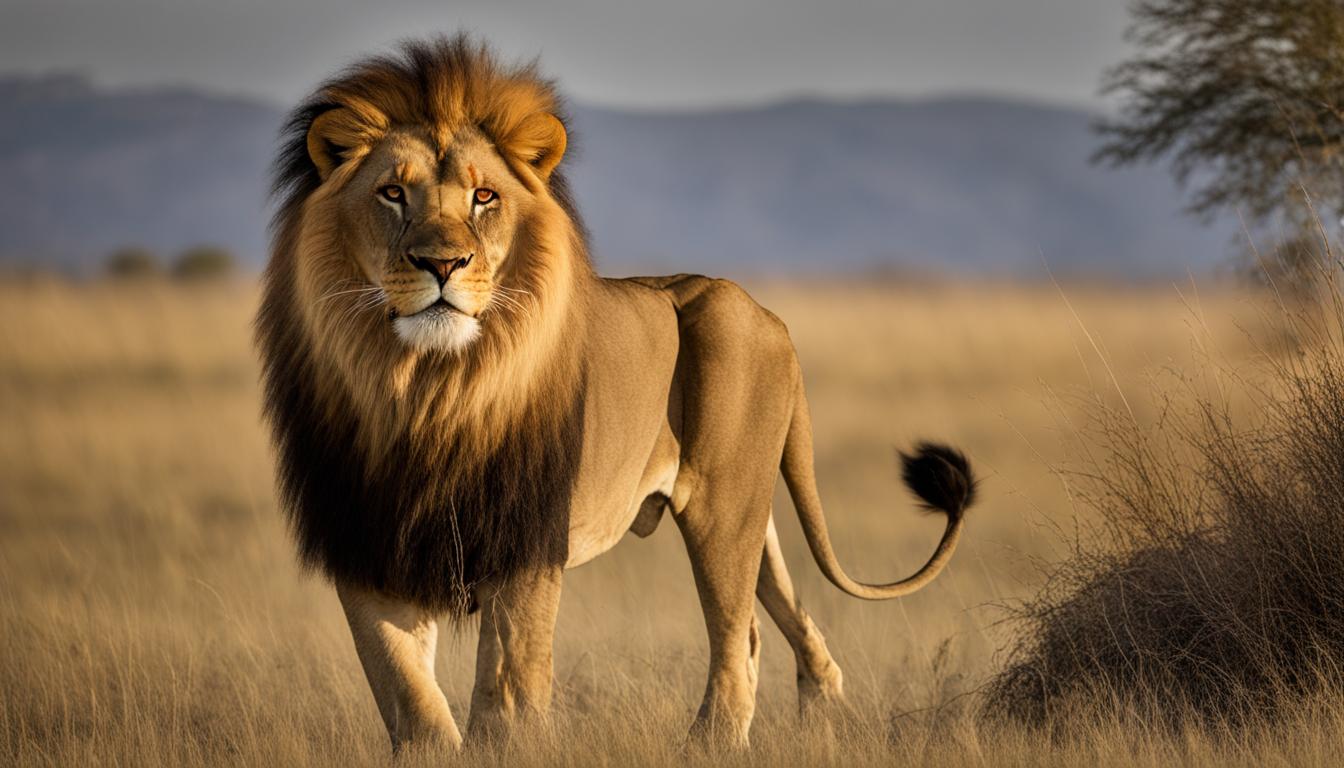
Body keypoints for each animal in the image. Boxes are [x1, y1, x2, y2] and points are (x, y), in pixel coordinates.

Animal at [256, 35, 977, 751]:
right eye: (391, 193)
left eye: (484, 196)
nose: (443, 264)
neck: (430, 392)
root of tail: (769, 317)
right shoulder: (366, 547)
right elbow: (416, 706)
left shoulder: (526, 547)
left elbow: (508, 695)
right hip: (752, 509)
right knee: (777, 619)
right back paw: (816, 716)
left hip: (722, 502)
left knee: (733, 637)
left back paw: (708, 746)